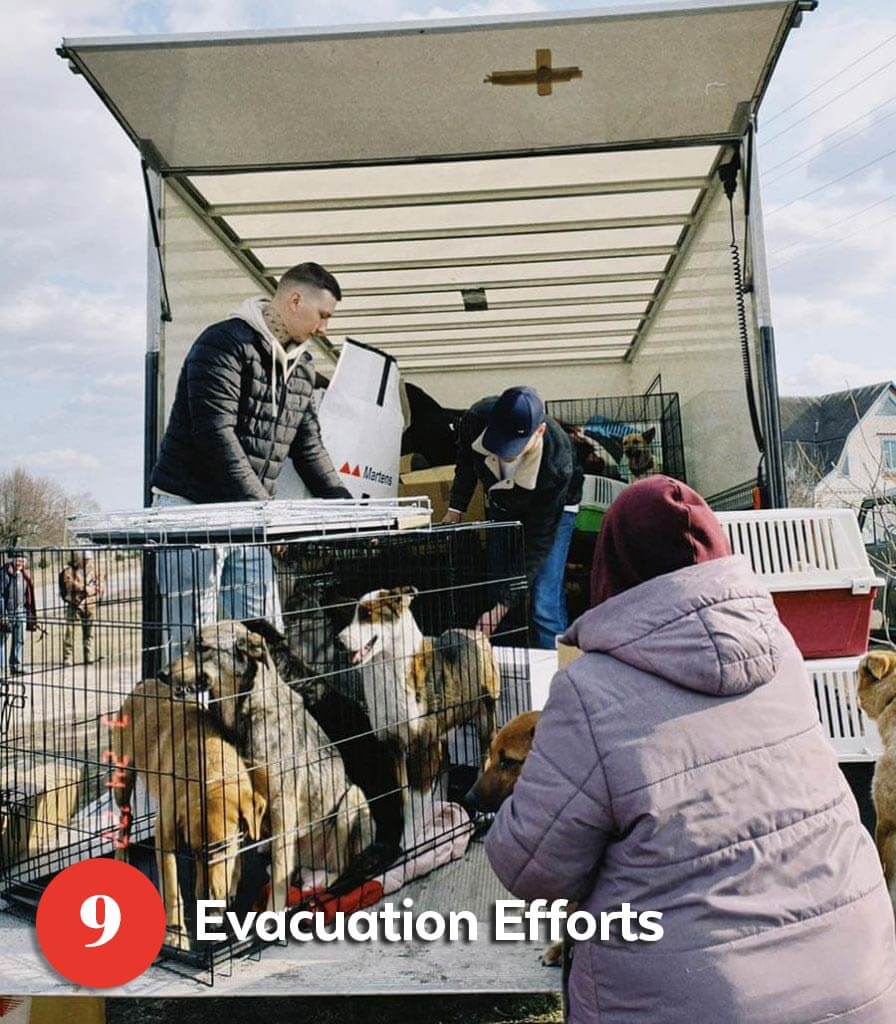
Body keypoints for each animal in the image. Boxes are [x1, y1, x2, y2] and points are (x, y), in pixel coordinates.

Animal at [111, 679, 266, 950]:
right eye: (193, 852)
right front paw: (176, 935)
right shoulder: (165, 835)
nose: (208, 906)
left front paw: (233, 880)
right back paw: (122, 855)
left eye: (221, 847)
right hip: (123, 778)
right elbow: (172, 889)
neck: (209, 768)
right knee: (125, 818)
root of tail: (144, 683)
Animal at [169, 618, 372, 917]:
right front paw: (229, 888)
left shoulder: (282, 802)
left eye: (203, 648)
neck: (244, 711)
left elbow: (278, 871)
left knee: (340, 866)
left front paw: (272, 912)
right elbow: (237, 851)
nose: (161, 674)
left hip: (353, 799)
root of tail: (312, 863)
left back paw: (320, 886)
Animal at [337, 589, 501, 843]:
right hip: (443, 731)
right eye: (351, 616)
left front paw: (413, 842)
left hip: (486, 717)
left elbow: (416, 801)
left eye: (367, 615)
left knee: (484, 758)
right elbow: (405, 797)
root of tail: (475, 634)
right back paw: (439, 802)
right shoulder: (393, 745)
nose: (338, 642)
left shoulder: (421, 745)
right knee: (444, 762)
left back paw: (485, 813)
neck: (389, 667)